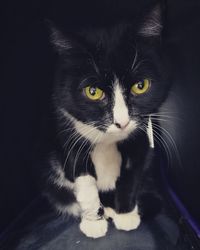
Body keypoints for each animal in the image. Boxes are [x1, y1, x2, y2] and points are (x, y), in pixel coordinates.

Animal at [42, 2, 170, 238]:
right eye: (93, 92)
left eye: (141, 86)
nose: (122, 122)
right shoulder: (66, 129)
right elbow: (82, 177)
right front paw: (93, 221)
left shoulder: (143, 134)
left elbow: (133, 172)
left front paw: (126, 215)